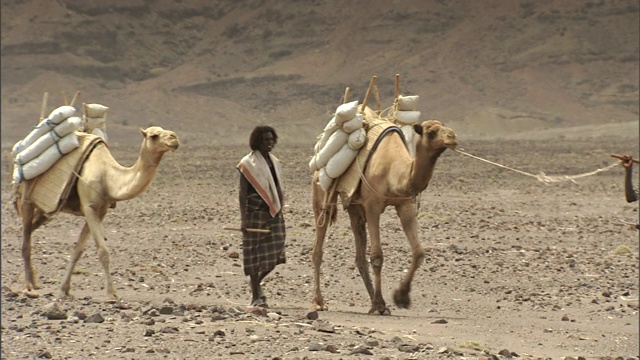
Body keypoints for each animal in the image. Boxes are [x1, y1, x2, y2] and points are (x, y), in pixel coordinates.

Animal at [15, 125, 180, 300]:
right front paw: (113, 293)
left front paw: (64, 289)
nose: (174, 138)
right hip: (27, 199)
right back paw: (28, 287)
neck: (108, 177)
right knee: (26, 242)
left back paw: (35, 281)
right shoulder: (89, 208)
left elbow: (78, 251)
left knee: (29, 230)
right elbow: (103, 251)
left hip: (46, 210)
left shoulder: (100, 211)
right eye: (154, 135)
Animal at [310, 119, 456, 314]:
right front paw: (381, 303)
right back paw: (318, 301)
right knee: (318, 248)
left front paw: (401, 297)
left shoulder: (405, 205)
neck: (394, 171)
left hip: (354, 207)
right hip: (322, 194)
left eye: (445, 127)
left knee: (359, 255)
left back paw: (373, 299)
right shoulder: (373, 206)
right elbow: (377, 257)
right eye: (431, 132)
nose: (452, 137)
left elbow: (418, 252)